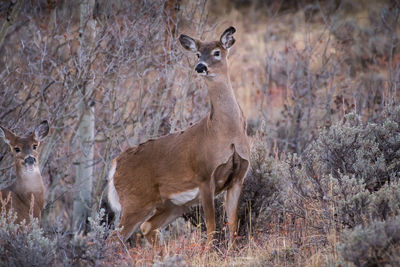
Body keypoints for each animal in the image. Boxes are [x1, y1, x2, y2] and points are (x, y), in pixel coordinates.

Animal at [107, 26, 250, 247]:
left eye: (217, 52)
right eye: (198, 54)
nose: (200, 67)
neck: (226, 133)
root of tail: (115, 165)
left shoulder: (237, 177)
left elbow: (233, 224)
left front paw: (232, 250)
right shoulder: (204, 176)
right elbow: (212, 226)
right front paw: (209, 251)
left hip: (172, 205)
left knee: (147, 227)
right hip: (135, 201)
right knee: (114, 237)